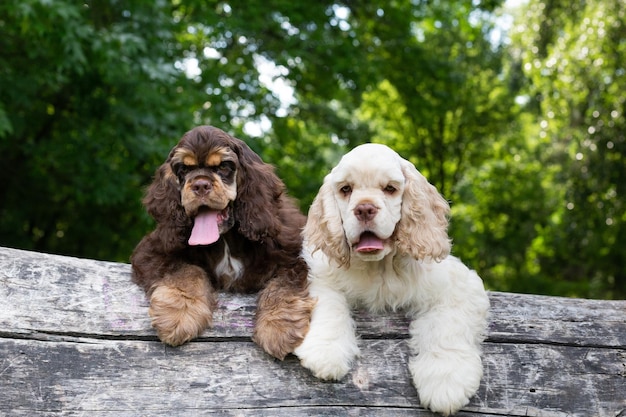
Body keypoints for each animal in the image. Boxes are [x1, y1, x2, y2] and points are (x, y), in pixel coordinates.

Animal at [292, 144, 488, 416]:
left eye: (390, 189)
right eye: (346, 189)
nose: (364, 209)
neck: (380, 267)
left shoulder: (460, 284)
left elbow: (448, 326)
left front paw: (446, 382)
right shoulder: (319, 274)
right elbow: (330, 304)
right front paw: (326, 352)